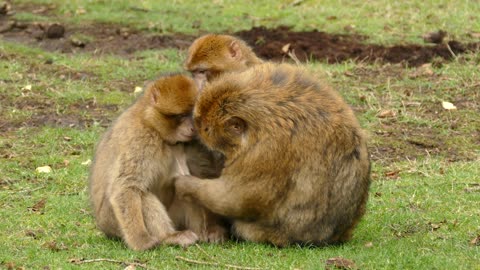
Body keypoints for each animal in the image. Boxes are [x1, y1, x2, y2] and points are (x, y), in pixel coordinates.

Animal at [87, 74, 225, 251]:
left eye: (191, 114)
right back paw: (169, 237)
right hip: (112, 222)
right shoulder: (140, 139)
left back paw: (203, 232)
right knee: (143, 194)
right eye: (181, 116)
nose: (193, 128)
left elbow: (205, 175)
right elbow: (126, 187)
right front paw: (141, 240)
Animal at [173, 62, 372, 247]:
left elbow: (237, 197)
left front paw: (185, 185)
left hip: (275, 234)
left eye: (205, 128)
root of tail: (335, 237)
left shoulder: (264, 152)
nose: (196, 129)